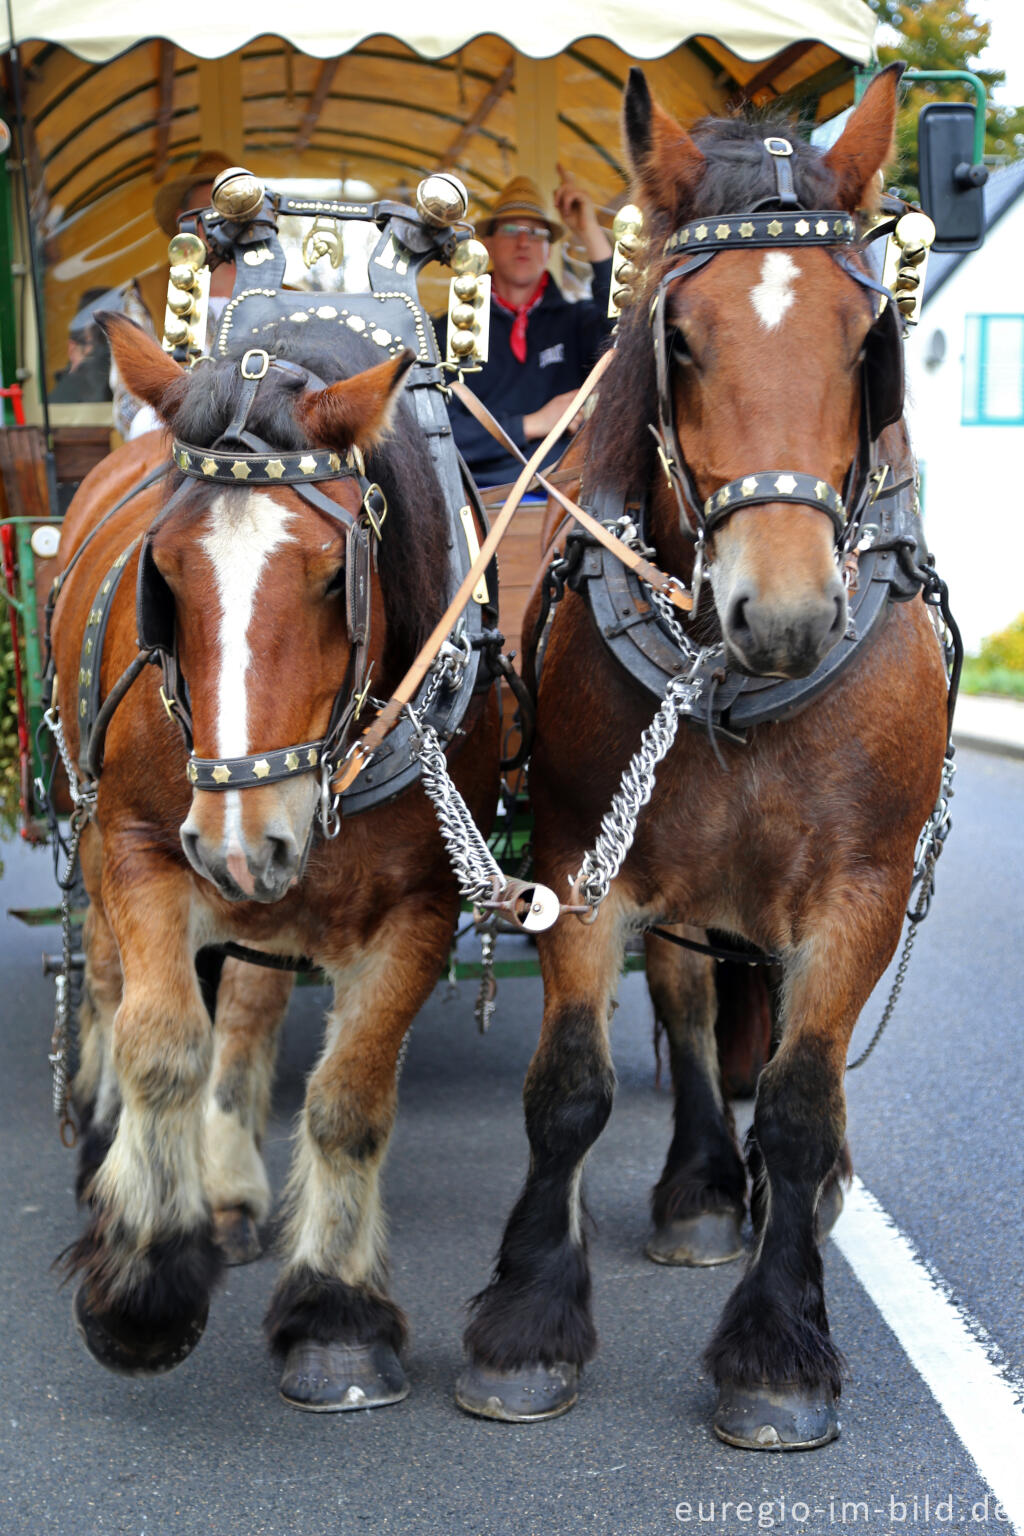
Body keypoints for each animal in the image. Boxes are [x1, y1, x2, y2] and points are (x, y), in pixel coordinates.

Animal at [52, 317, 500, 1406]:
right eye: (163, 575)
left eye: (338, 580)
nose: (239, 841)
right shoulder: (139, 849)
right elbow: (163, 1043)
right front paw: (143, 1282)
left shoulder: (421, 906)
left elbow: (349, 1101)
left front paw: (334, 1312)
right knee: (117, 991)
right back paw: (109, 1145)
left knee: (251, 1005)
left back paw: (227, 1188)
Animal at [457, 62, 951, 1449]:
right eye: (678, 340)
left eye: (867, 342)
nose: (777, 615)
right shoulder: (584, 860)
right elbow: (570, 1083)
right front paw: (528, 1323)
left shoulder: (860, 888)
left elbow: (795, 1097)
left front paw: (778, 1350)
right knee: (682, 1005)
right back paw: (696, 1190)